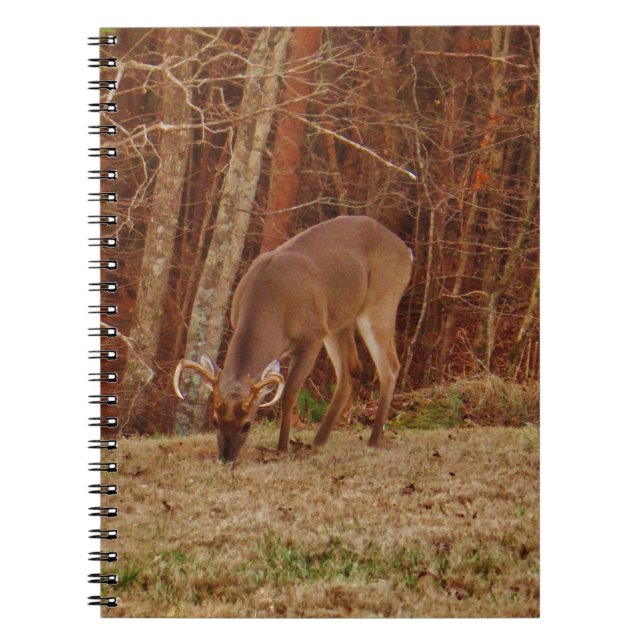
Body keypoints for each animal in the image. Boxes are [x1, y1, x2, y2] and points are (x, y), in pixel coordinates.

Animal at [173, 215, 412, 464]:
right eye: (215, 421)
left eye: (247, 425)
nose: (226, 459)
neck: (273, 307)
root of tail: (406, 251)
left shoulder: (312, 335)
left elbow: (289, 393)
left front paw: (282, 447)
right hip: (337, 321)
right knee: (350, 372)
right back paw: (319, 440)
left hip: (380, 302)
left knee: (390, 367)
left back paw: (373, 439)